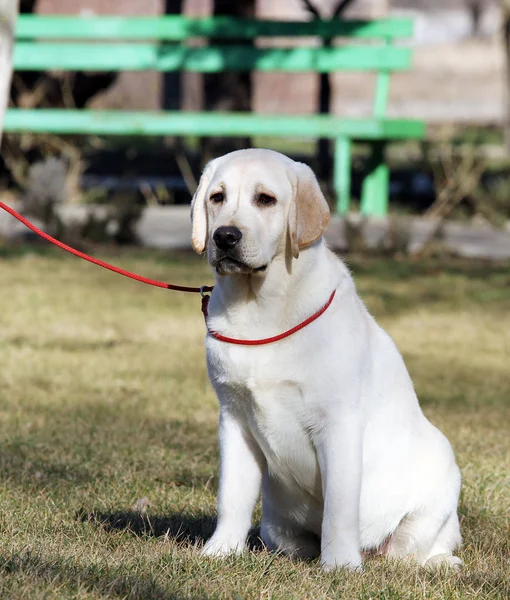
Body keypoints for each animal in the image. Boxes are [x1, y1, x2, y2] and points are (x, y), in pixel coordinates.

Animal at [191, 148, 462, 568]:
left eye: (265, 199)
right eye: (217, 197)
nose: (225, 236)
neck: (258, 309)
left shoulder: (338, 423)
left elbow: (339, 505)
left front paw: (340, 565)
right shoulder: (234, 417)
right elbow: (232, 496)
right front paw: (221, 550)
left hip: (441, 472)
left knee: (414, 550)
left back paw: (436, 562)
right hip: (277, 526)